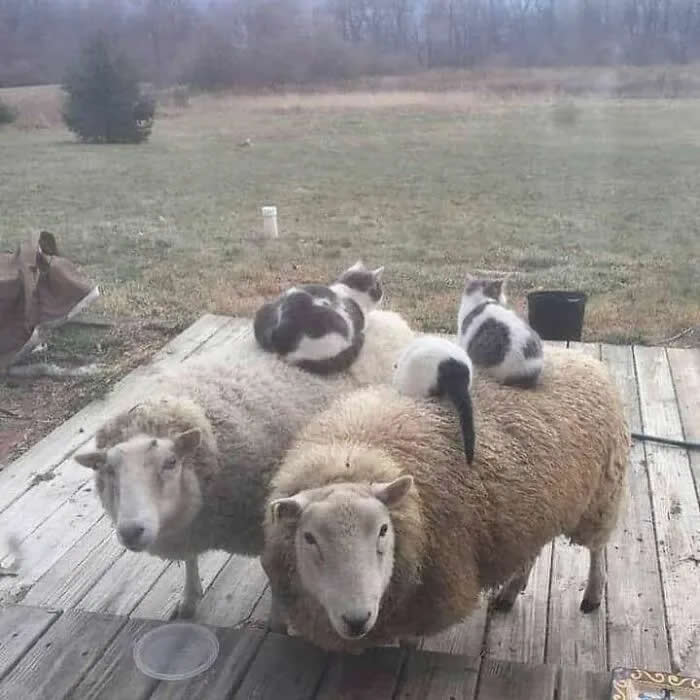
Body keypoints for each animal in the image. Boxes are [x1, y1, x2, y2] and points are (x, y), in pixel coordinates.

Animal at [73, 309, 414, 618]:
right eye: (108, 470)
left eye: (170, 462)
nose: (131, 531)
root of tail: (389, 317)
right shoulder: (194, 529)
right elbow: (190, 561)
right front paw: (189, 598)